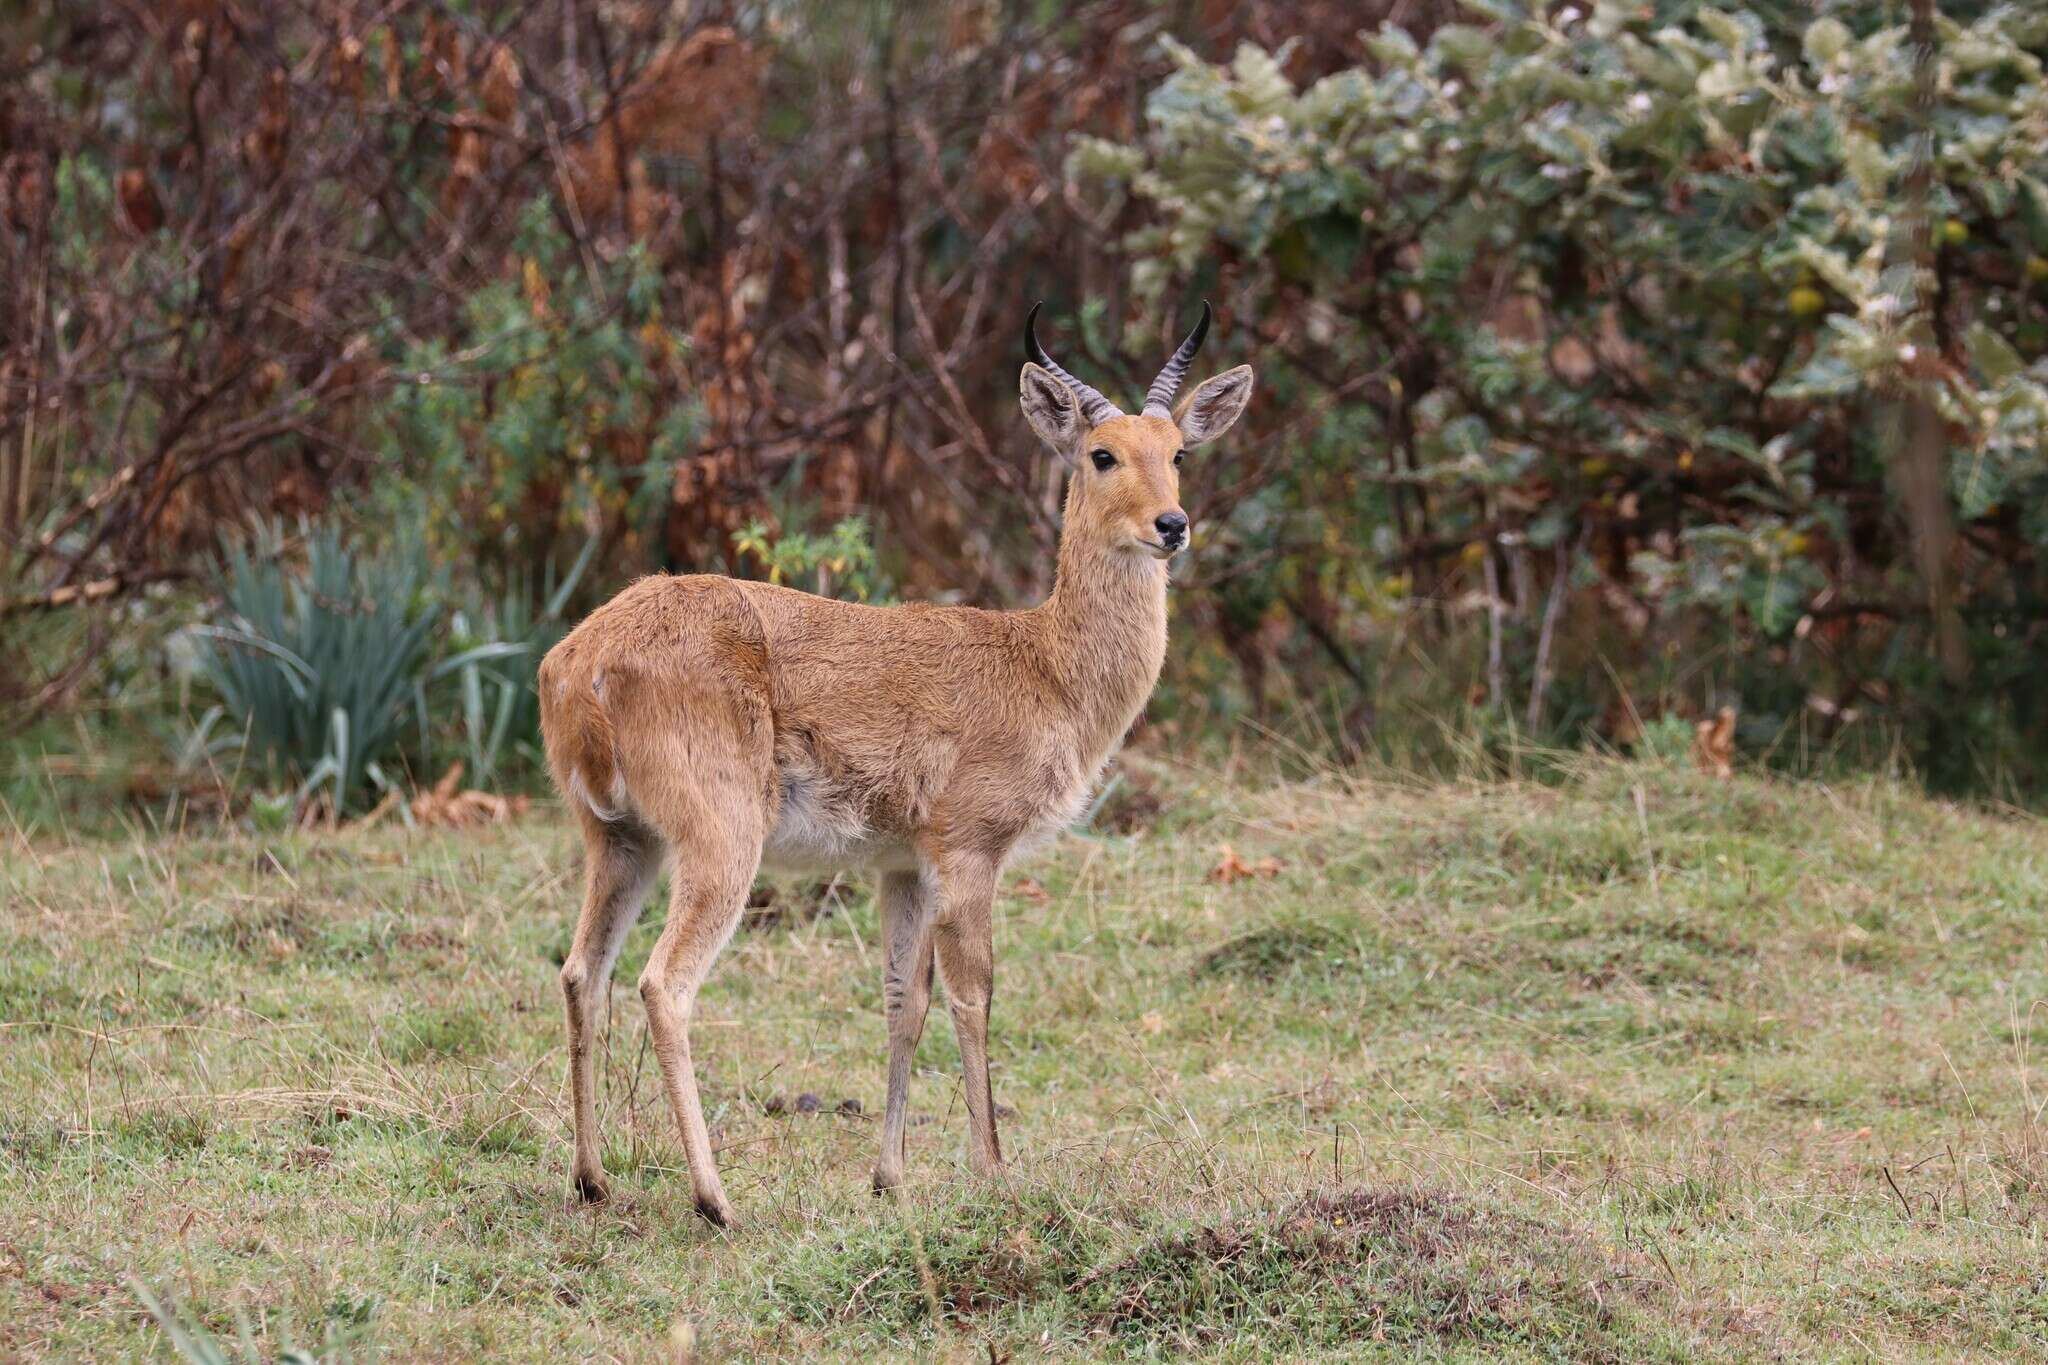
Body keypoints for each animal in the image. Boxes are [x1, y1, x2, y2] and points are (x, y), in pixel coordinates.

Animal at [536, 300, 1253, 1227]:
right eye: (1102, 453)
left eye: (1178, 453)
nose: (1172, 525)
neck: (1043, 668)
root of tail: (581, 661)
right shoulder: (970, 850)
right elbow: (975, 994)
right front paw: (993, 1170)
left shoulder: (902, 865)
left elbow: (901, 1002)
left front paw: (891, 1176)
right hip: (720, 841)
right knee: (665, 982)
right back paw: (716, 1199)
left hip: (620, 840)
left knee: (582, 971)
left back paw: (593, 1179)